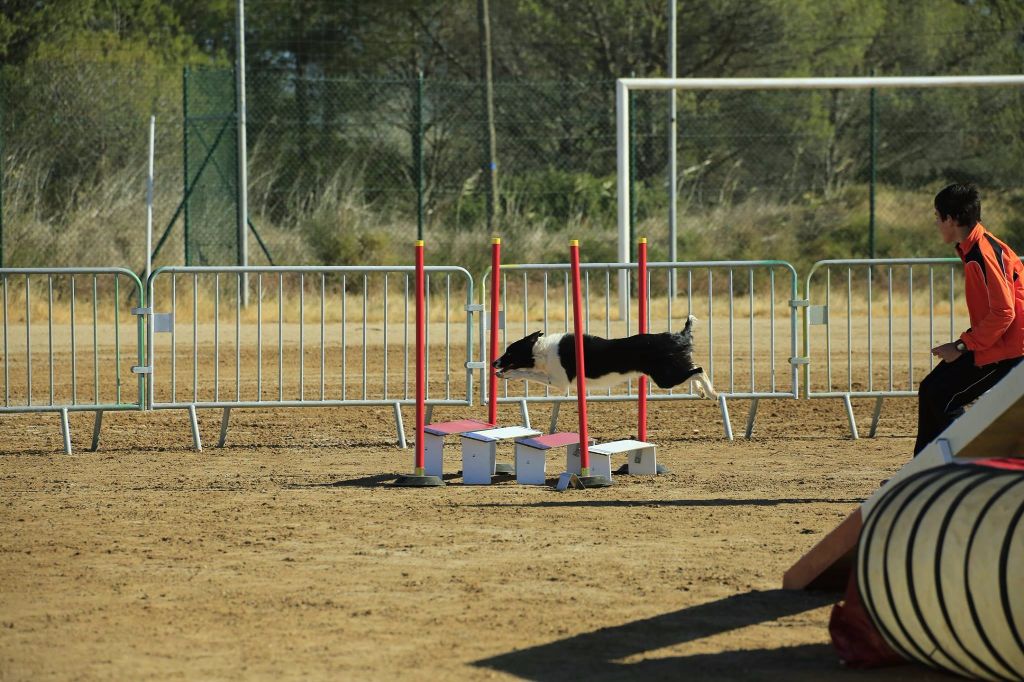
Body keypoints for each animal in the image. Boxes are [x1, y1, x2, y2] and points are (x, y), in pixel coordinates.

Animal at [491, 315, 716, 395]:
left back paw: (712, 392)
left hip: (664, 378)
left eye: (509, 351)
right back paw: (701, 391)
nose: (494, 363)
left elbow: (528, 373)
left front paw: (507, 374)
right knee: (693, 369)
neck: (541, 350)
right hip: (670, 372)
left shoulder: (559, 381)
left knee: (699, 370)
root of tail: (677, 336)